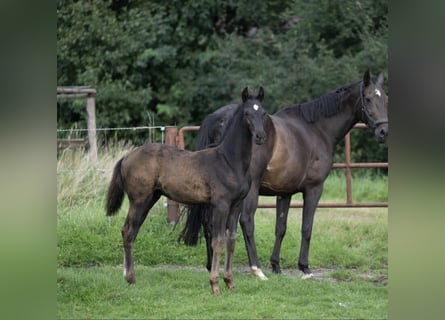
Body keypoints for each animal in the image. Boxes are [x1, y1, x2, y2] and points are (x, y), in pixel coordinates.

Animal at [105, 86, 268, 294]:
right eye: (247, 113)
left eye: (263, 113)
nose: (260, 137)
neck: (229, 161)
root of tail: (126, 157)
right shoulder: (221, 204)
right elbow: (218, 241)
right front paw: (215, 285)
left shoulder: (236, 205)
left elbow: (231, 240)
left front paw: (230, 282)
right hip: (139, 199)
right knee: (127, 231)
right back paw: (130, 277)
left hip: (150, 199)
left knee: (131, 231)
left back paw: (128, 276)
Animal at [179, 69, 386, 280]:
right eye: (368, 99)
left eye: (384, 98)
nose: (383, 131)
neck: (317, 130)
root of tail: (219, 119)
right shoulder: (314, 188)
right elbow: (306, 227)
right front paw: (304, 267)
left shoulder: (285, 192)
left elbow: (281, 228)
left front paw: (276, 265)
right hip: (249, 190)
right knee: (245, 221)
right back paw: (256, 268)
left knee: (209, 223)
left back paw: (211, 264)